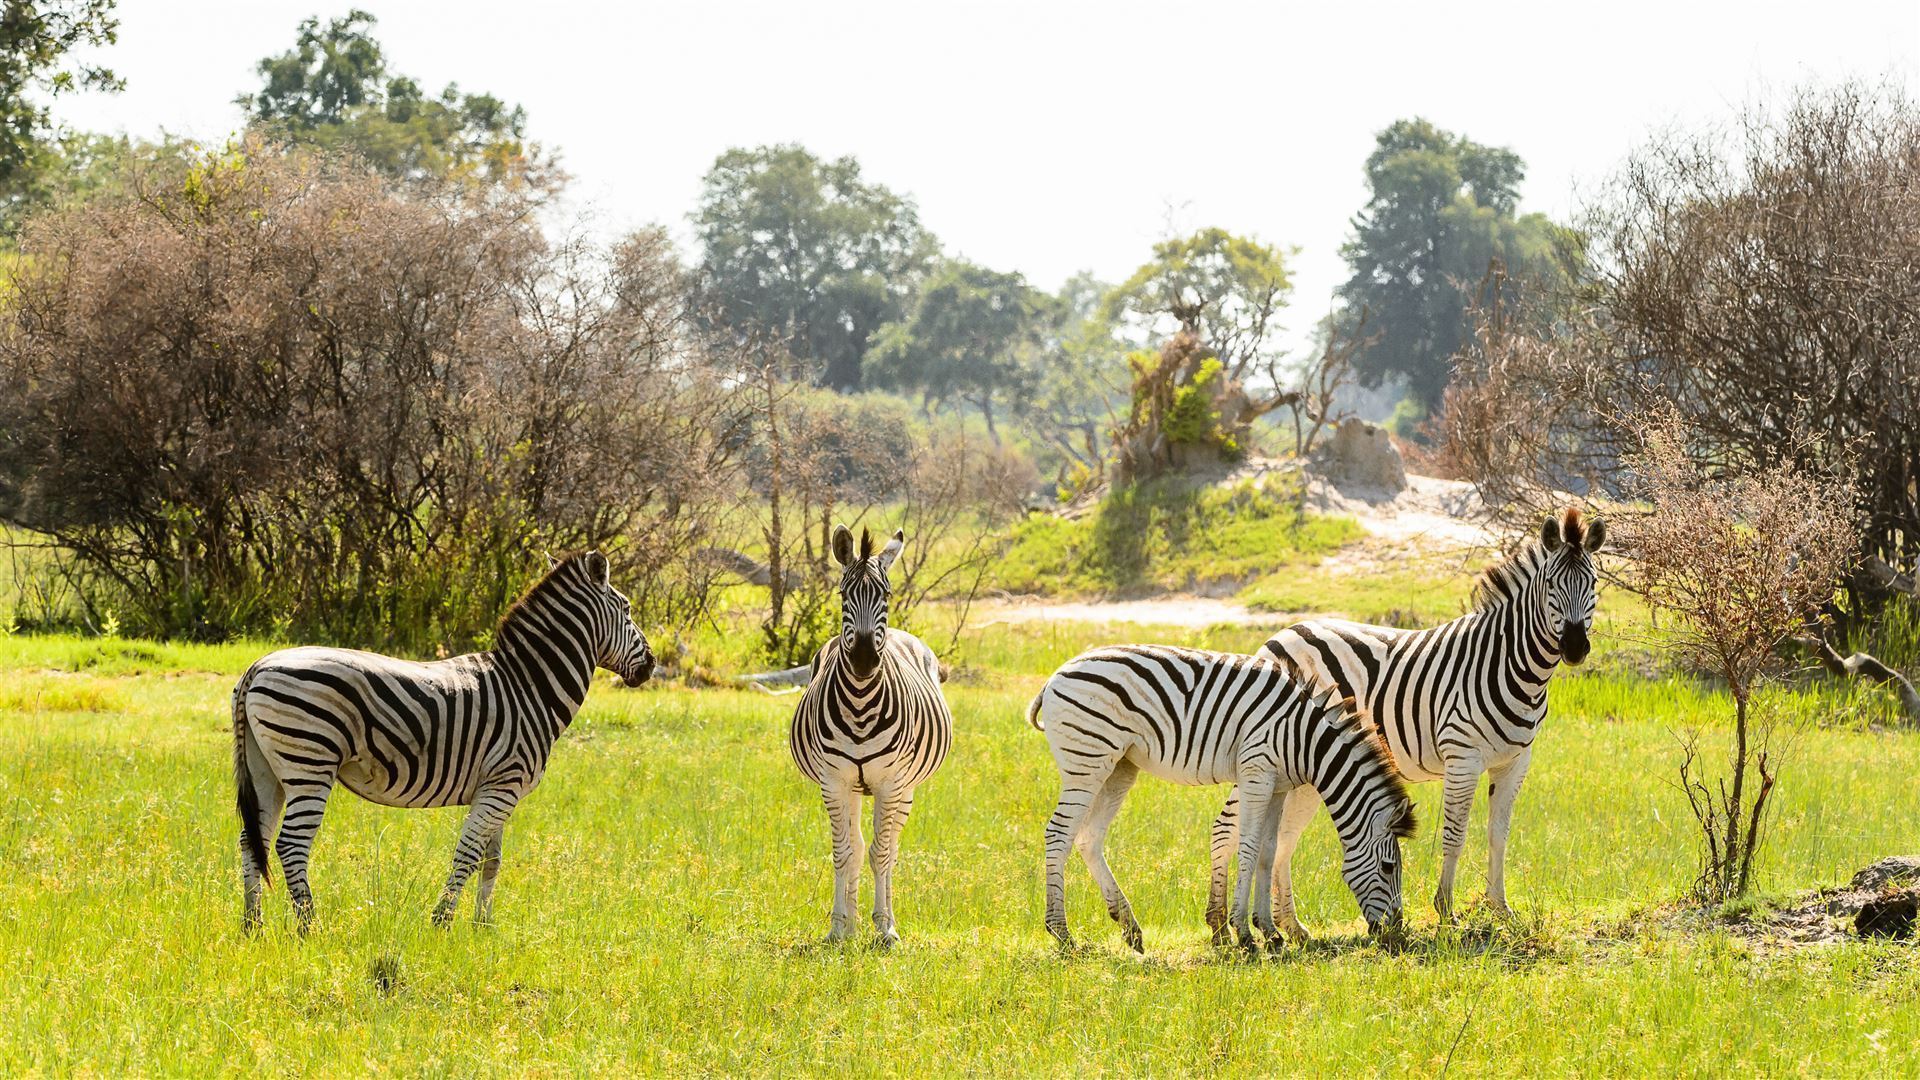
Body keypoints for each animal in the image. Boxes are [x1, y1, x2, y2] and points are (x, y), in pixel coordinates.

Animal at [233, 551, 654, 931]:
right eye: (628, 610)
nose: (651, 665)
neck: (529, 688)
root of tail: (259, 665)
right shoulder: (503, 784)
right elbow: (467, 855)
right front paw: (442, 924)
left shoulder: (500, 790)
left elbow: (491, 861)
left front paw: (482, 928)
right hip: (310, 763)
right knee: (291, 845)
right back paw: (310, 928)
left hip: (265, 769)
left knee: (253, 840)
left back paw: (253, 926)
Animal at [789, 525, 952, 947]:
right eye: (843, 595)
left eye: (886, 595)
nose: (863, 660)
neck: (861, 704)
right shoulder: (833, 782)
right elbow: (845, 852)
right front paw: (838, 927)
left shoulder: (890, 783)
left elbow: (881, 853)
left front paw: (885, 929)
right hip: (851, 788)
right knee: (858, 845)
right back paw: (851, 924)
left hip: (905, 789)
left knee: (890, 847)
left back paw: (886, 917)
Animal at [1029, 644, 1416, 954]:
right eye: (1388, 867)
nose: (1397, 934)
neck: (1303, 738)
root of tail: (1055, 677)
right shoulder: (1257, 773)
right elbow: (1248, 848)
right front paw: (1244, 933)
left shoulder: (1278, 786)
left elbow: (1268, 851)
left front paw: (1269, 932)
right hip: (1087, 762)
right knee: (1059, 834)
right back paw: (1062, 934)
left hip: (1119, 767)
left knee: (1088, 838)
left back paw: (1129, 928)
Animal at [1206, 508, 1605, 941]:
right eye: (1551, 584)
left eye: (1593, 583)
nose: (1575, 648)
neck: (1511, 666)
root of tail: (1282, 633)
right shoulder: (1462, 757)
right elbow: (1455, 835)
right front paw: (1446, 911)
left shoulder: (1515, 761)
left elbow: (1499, 834)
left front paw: (1500, 908)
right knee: (1227, 827)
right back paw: (1221, 925)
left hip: (1307, 767)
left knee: (1283, 839)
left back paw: (1291, 927)